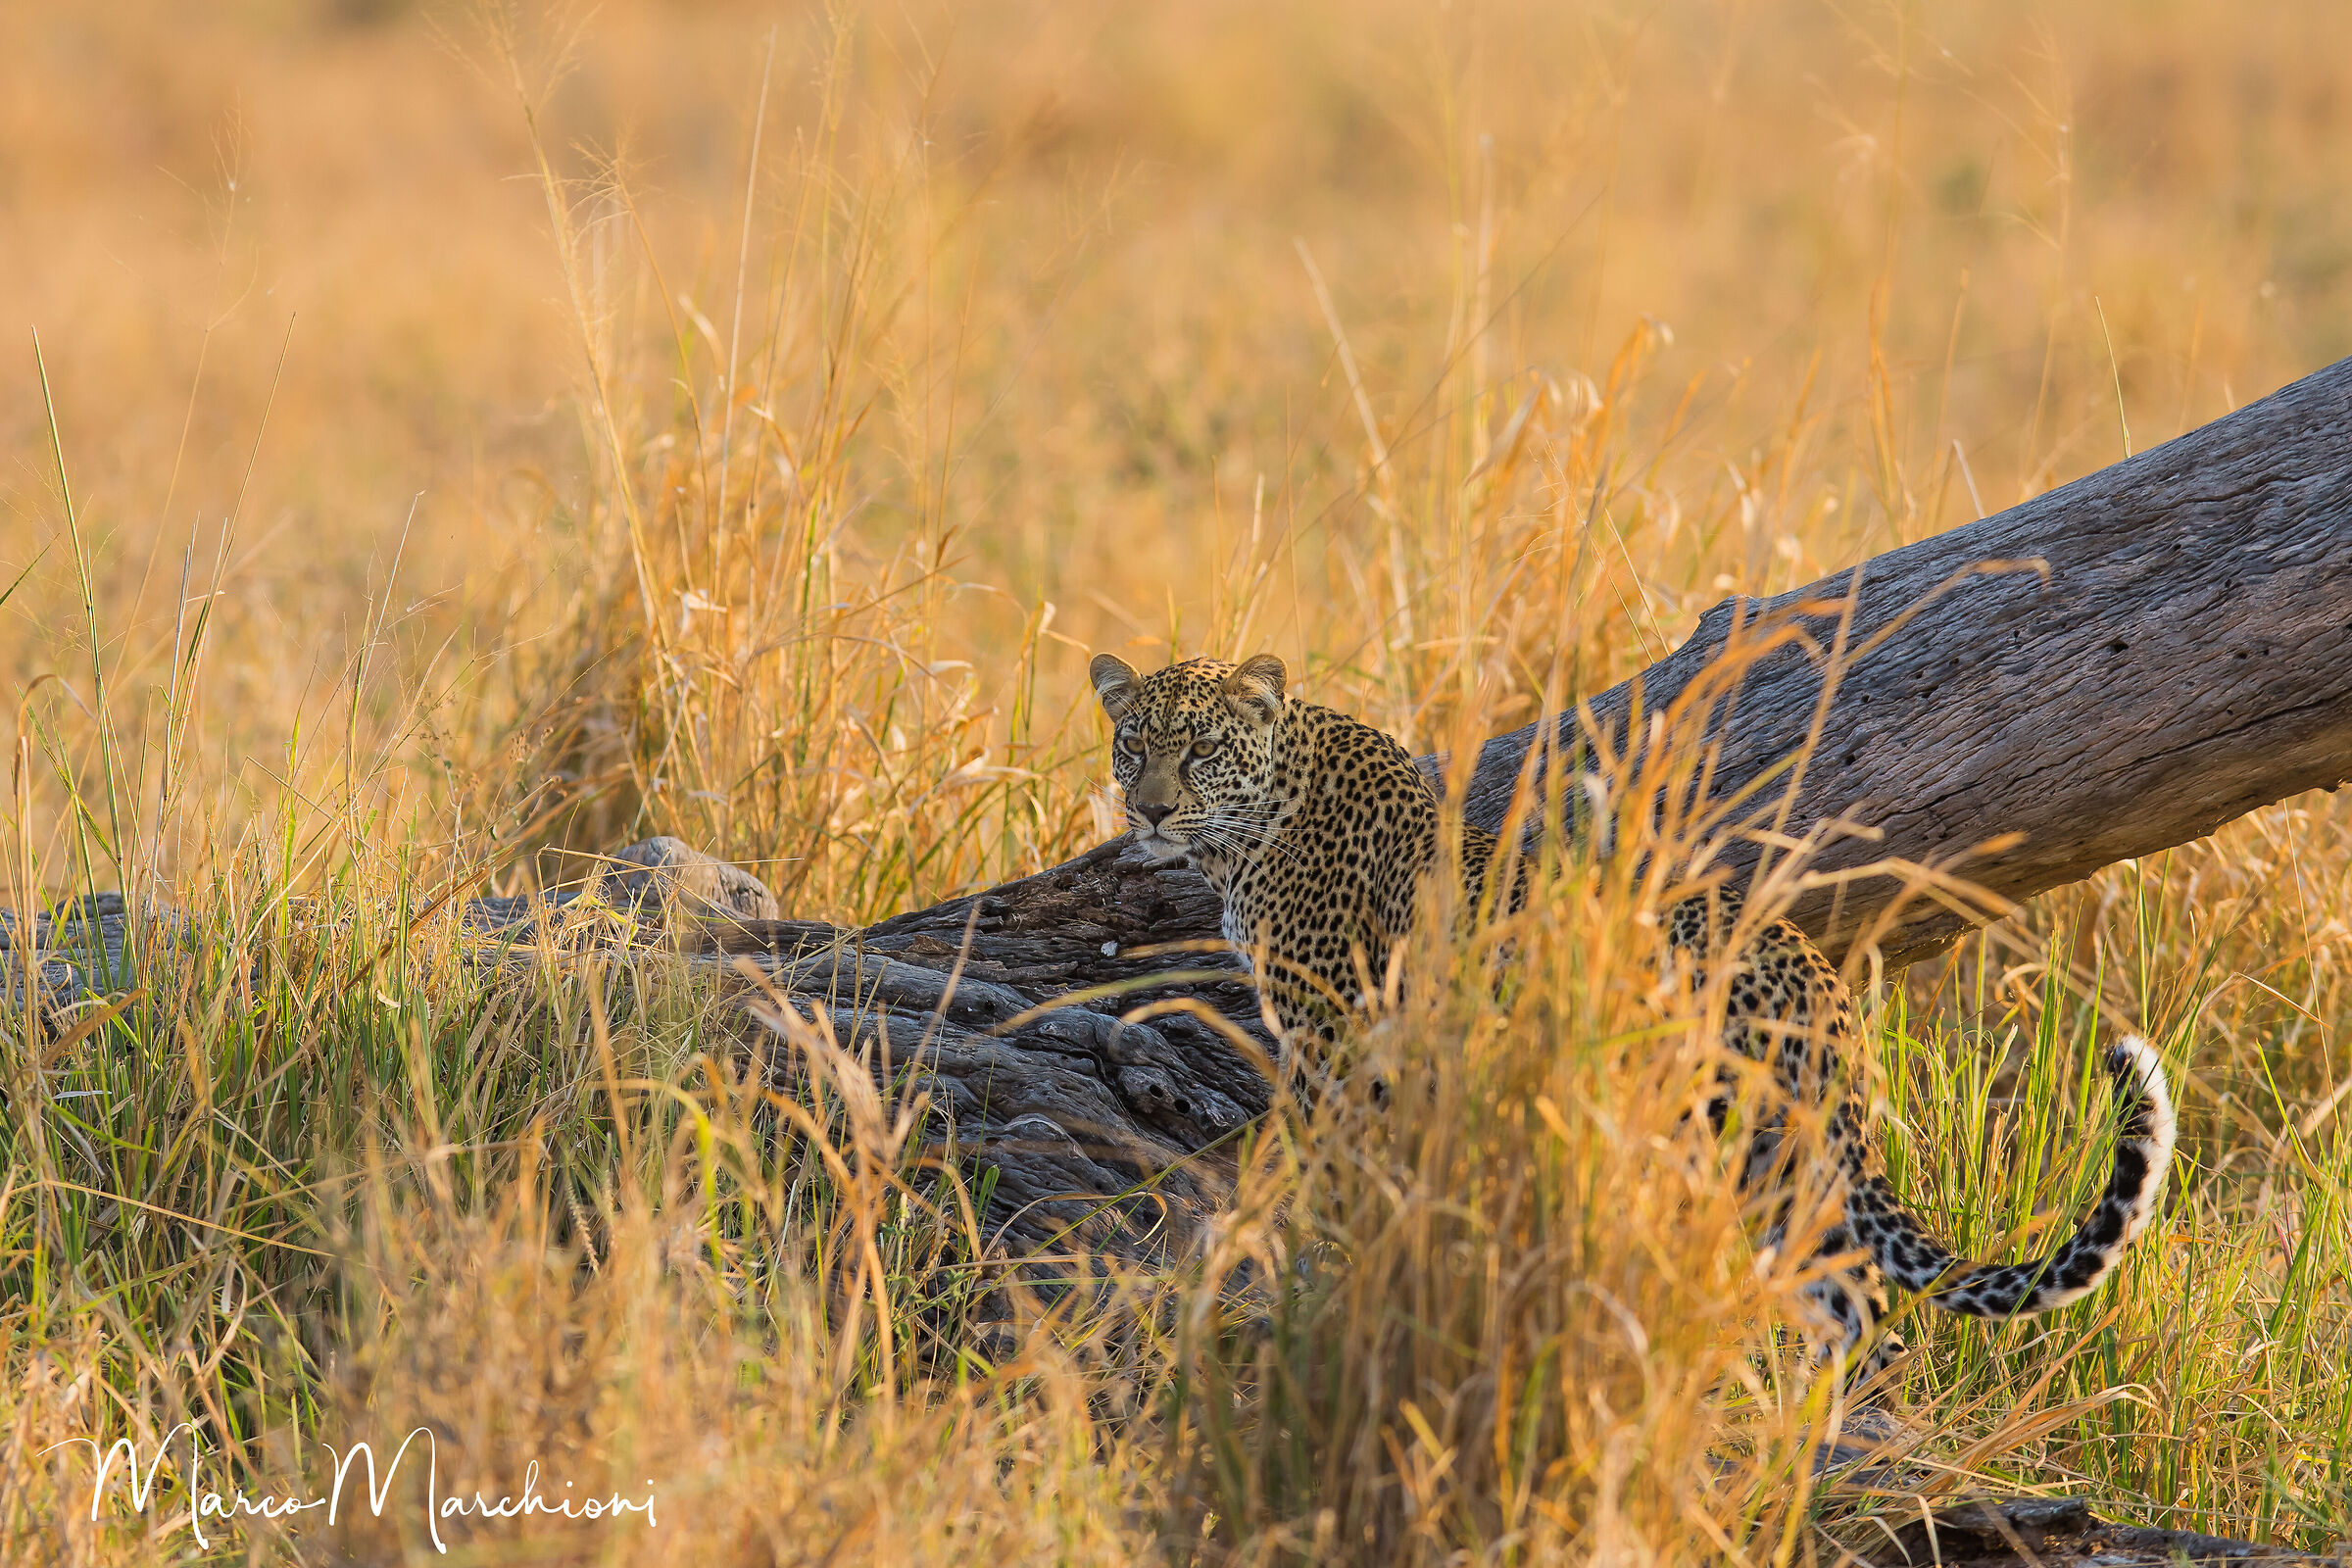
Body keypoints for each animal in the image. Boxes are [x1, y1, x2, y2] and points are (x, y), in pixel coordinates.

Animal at [1091, 649, 2180, 1383]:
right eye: (1133, 746)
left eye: (1200, 749)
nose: (1148, 811)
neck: (1252, 830)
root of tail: (1817, 979)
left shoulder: (1333, 1035)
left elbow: (1327, 1167)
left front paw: (1313, 1262)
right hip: (1781, 1156)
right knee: (1854, 1302)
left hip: (1731, 1134)